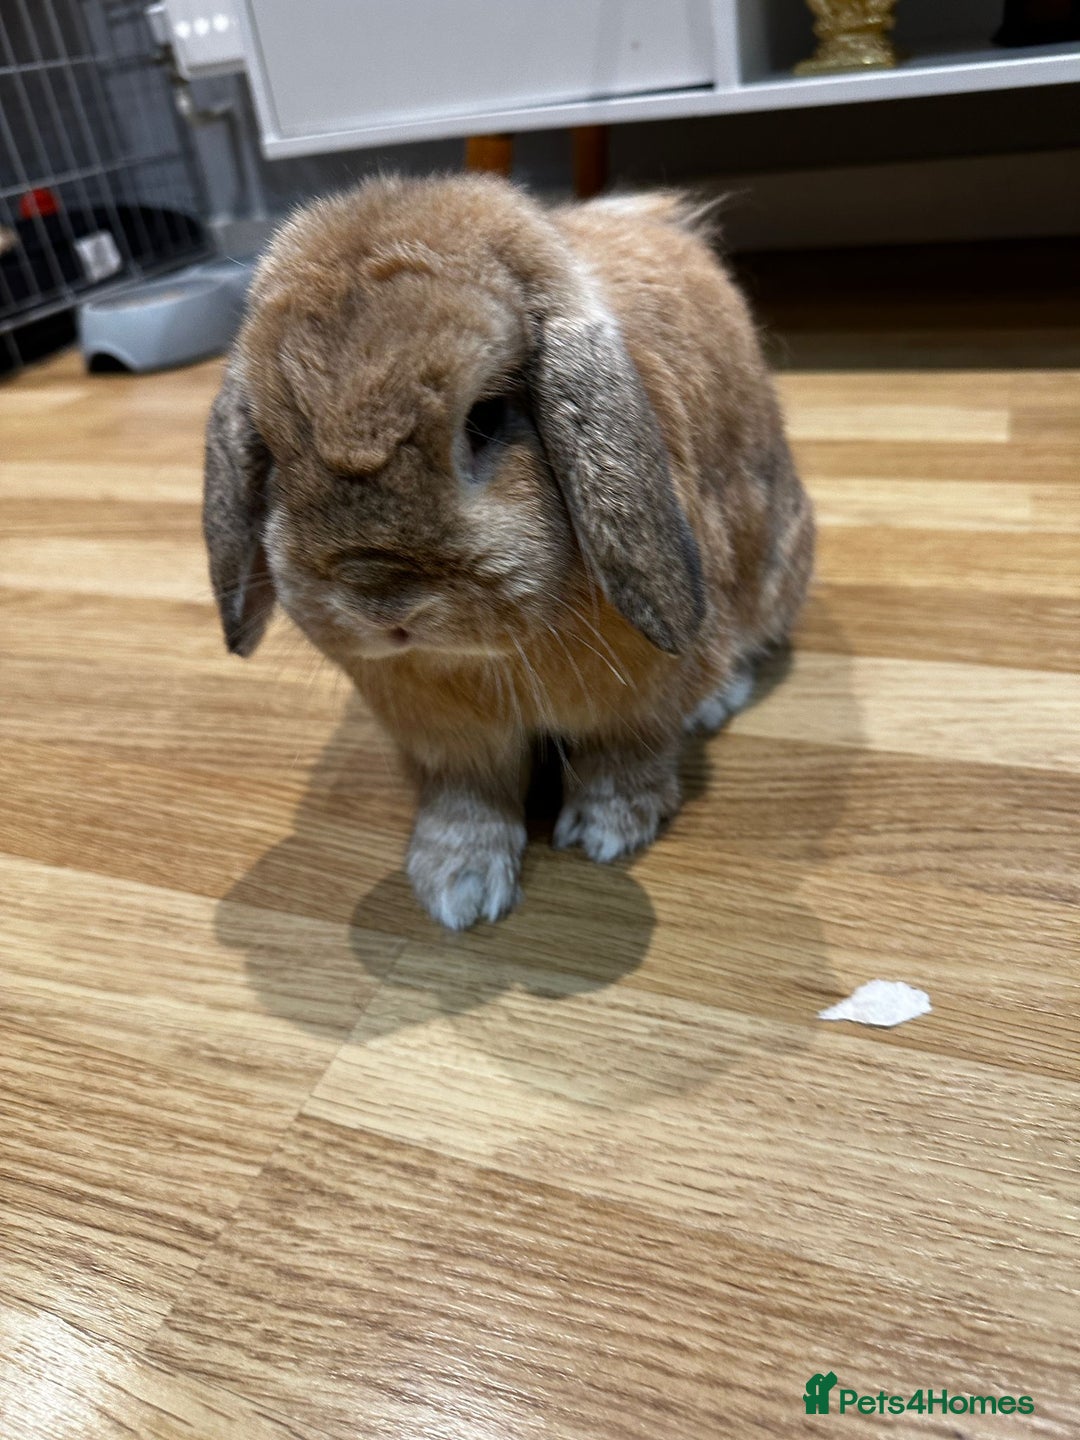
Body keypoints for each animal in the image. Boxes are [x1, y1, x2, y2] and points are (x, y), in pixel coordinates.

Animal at [203, 174, 814, 930]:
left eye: (486, 419)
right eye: (274, 445)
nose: (380, 597)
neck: (485, 659)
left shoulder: (637, 707)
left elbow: (625, 757)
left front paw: (606, 834)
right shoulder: (449, 740)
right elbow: (469, 798)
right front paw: (457, 890)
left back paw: (716, 701)